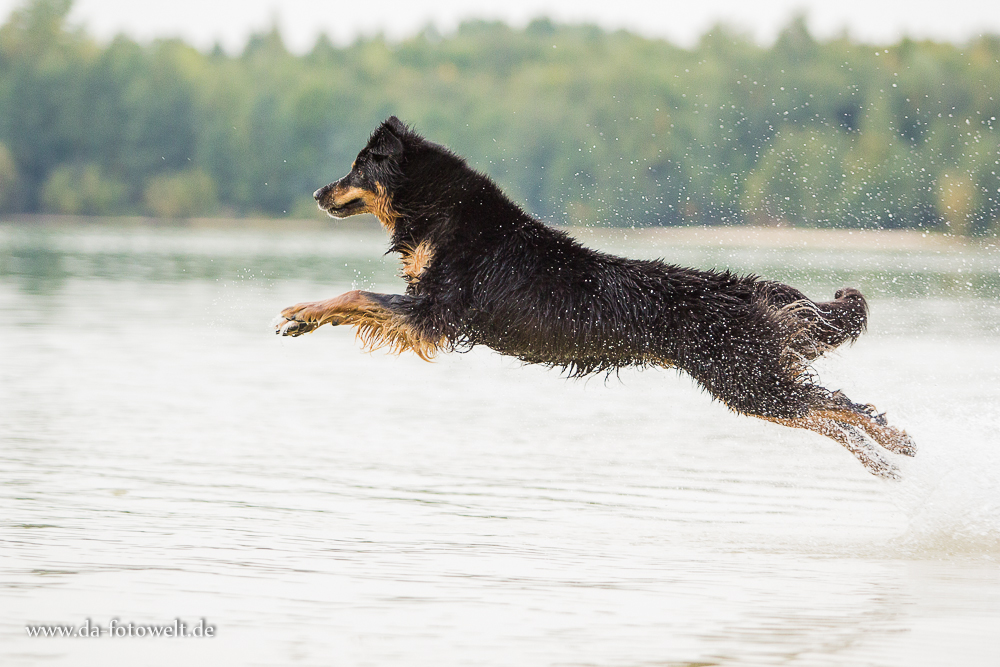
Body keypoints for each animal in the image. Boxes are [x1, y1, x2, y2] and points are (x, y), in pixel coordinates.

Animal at [278, 116, 916, 480]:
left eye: (357, 166)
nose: (315, 193)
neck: (444, 213)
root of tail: (739, 285)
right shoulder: (425, 313)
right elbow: (358, 298)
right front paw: (304, 318)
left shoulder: (432, 313)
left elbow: (354, 293)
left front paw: (300, 314)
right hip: (750, 381)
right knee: (829, 411)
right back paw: (885, 456)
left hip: (746, 380)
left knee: (841, 406)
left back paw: (894, 443)